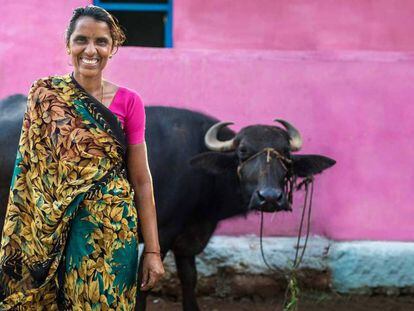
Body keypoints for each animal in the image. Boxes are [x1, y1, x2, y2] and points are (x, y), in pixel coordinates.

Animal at [0, 95, 334, 311]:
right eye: (242, 152)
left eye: (286, 157)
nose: (270, 197)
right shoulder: (161, 231)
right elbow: (143, 283)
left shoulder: (190, 234)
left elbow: (190, 276)